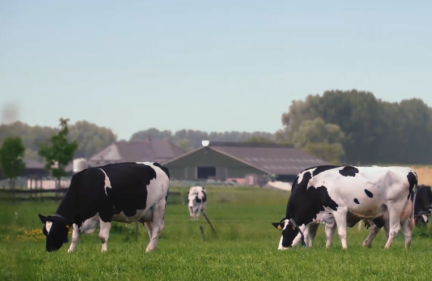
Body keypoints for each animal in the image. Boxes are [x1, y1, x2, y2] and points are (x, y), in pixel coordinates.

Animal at [38, 162, 170, 252]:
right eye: (45, 231)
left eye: (55, 231)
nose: (49, 249)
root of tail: (158, 165)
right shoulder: (78, 218)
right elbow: (75, 236)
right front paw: (70, 251)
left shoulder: (106, 212)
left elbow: (102, 236)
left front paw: (104, 252)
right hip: (147, 212)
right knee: (152, 230)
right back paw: (152, 249)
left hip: (159, 205)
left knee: (157, 228)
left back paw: (149, 249)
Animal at [272, 165, 416, 248]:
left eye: (287, 232)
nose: (281, 248)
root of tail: (410, 170)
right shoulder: (326, 214)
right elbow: (327, 232)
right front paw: (326, 247)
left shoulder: (339, 209)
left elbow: (341, 232)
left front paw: (344, 248)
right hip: (404, 212)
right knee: (407, 231)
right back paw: (405, 249)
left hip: (395, 206)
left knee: (394, 229)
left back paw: (386, 248)